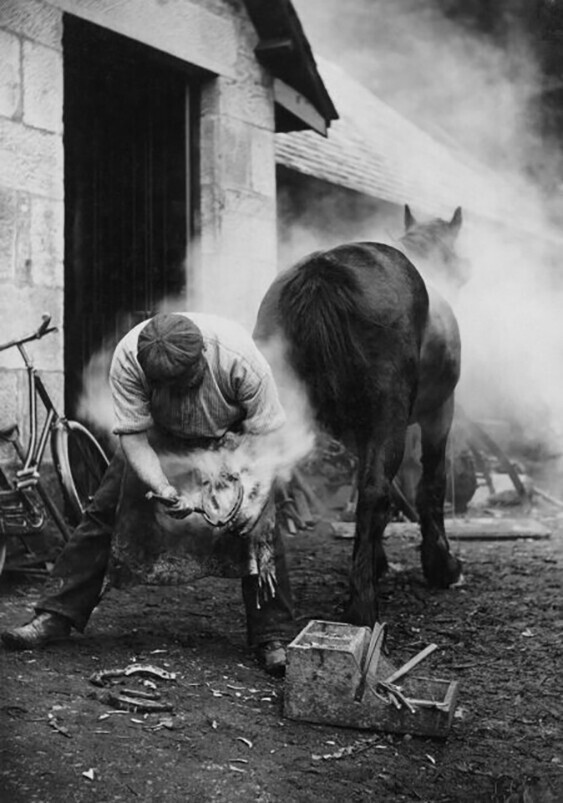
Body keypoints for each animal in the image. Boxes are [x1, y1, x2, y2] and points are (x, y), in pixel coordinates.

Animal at [253, 207, 464, 628]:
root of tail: (323, 271)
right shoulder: (438, 412)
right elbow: (428, 484)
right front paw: (441, 565)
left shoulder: (358, 433)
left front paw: (378, 561)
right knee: (375, 491)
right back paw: (362, 607)